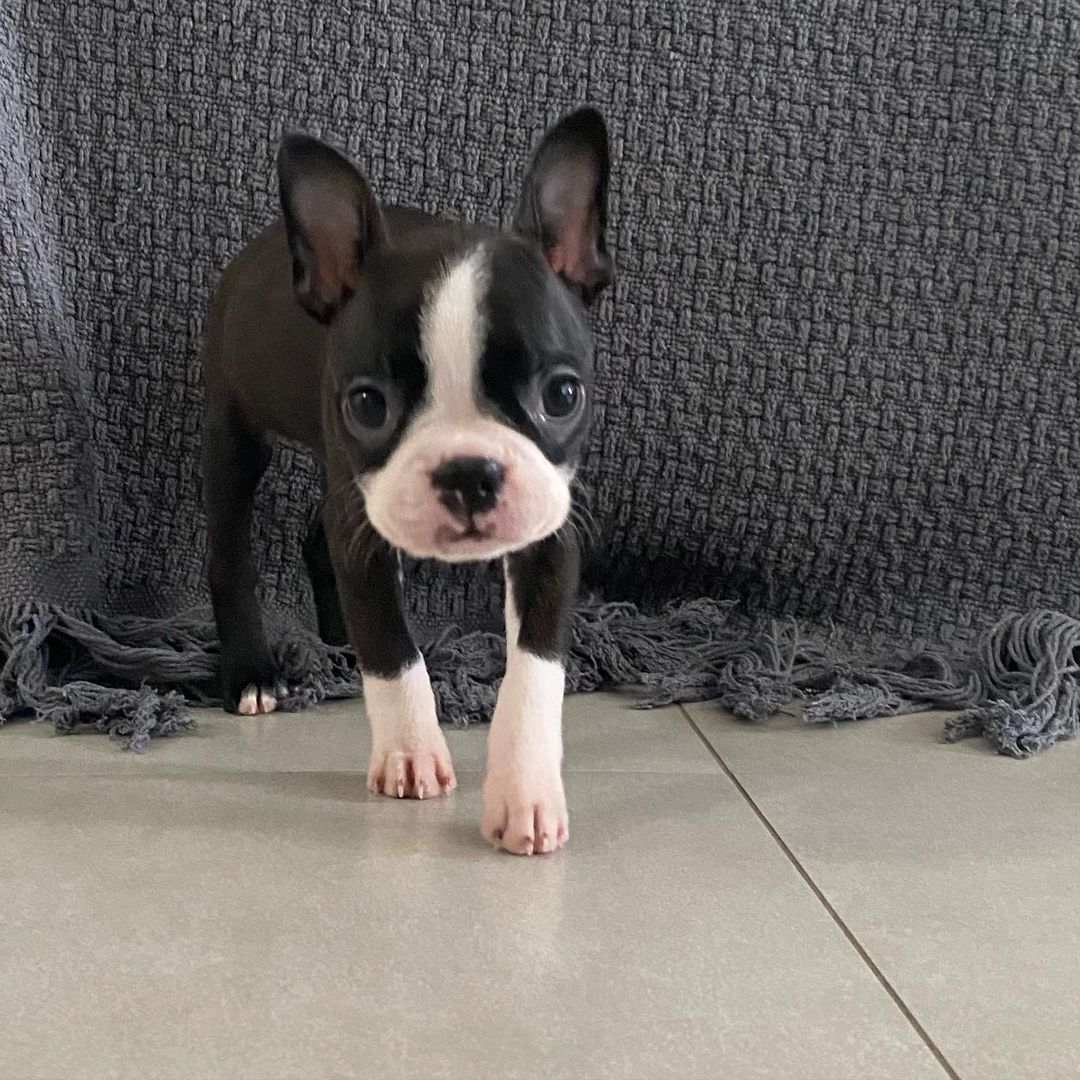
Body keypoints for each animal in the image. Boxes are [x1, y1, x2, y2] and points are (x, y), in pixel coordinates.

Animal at [201, 108, 612, 855]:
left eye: (562, 394)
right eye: (369, 404)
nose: (469, 473)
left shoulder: (550, 530)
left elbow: (534, 671)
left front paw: (526, 792)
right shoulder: (357, 511)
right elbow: (393, 651)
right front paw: (411, 750)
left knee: (318, 539)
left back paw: (339, 637)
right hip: (234, 431)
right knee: (229, 548)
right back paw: (252, 672)